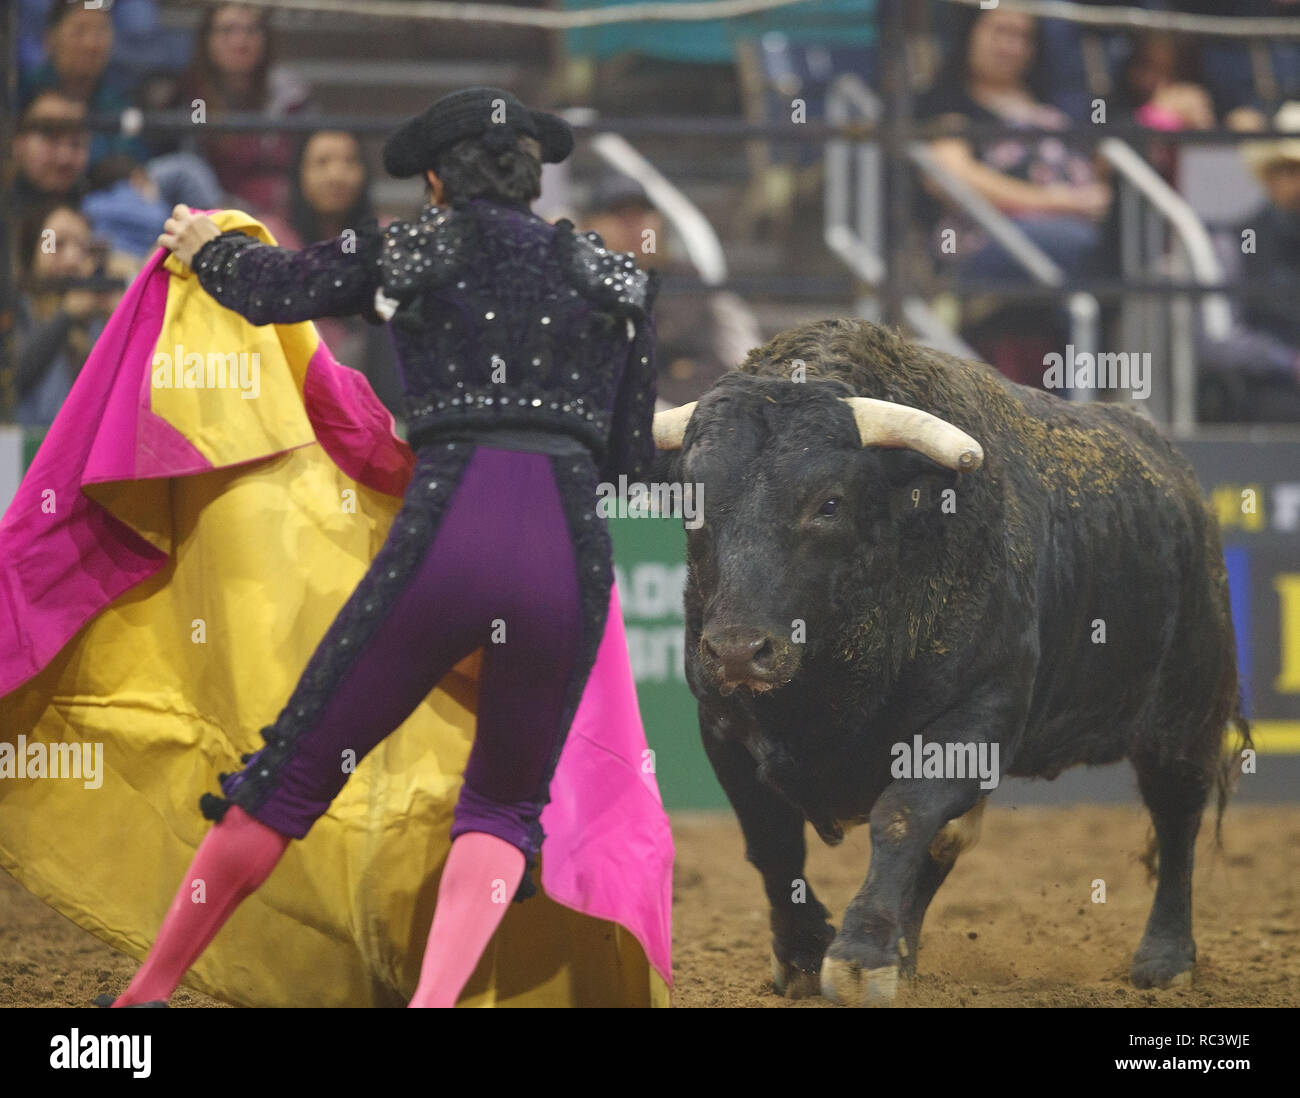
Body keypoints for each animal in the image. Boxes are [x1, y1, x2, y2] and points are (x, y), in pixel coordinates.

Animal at [655, 314, 1253, 1003]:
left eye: (829, 503)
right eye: (691, 502)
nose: (737, 651)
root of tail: (1179, 481)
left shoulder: (977, 718)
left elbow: (901, 814)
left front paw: (861, 957)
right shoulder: (723, 723)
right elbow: (772, 841)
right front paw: (807, 954)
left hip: (1184, 710)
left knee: (1178, 812)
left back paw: (1165, 957)